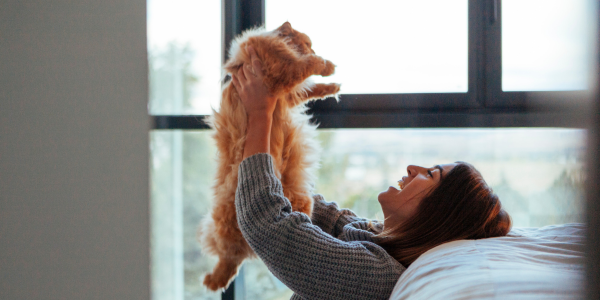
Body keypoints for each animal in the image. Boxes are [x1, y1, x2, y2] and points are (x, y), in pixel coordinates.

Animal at [198, 21, 342, 290]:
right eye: (308, 43)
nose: (312, 47)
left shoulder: (286, 91)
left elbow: (311, 88)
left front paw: (332, 86)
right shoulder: (281, 75)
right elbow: (308, 66)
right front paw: (326, 66)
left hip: (301, 202)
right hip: (227, 226)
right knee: (229, 257)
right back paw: (215, 281)